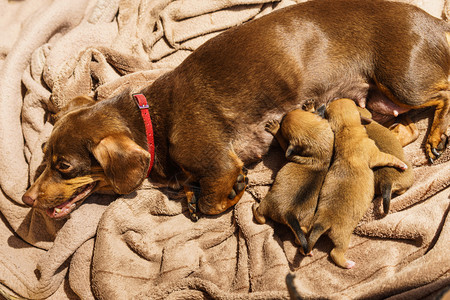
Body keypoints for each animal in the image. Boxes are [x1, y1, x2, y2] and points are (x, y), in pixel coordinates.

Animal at [22, 0, 450, 220]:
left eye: (64, 166)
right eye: (43, 157)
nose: (26, 199)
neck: (153, 120)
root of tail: (435, 22)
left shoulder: (219, 165)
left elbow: (212, 203)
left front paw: (234, 193)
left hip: (402, 81)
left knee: (443, 93)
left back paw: (436, 137)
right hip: (381, 101)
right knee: (404, 127)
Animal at [253, 106, 334, 254]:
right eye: (305, 112)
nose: (284, 115)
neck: (321, 155)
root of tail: (289, 213)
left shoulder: (288, 150)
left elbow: (283, 143)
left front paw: (275, 128)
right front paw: (310, 106)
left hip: (267, 203)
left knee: (260, 217)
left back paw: (254, 208)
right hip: (306, 221)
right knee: (302, 232)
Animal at [308, 99, 410, 270]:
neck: (346, 129)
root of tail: (323, 222)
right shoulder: (376, 155)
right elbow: (389, 158)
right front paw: (401, 164)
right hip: (342, 237)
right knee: (335, 253)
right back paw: (347, 263)